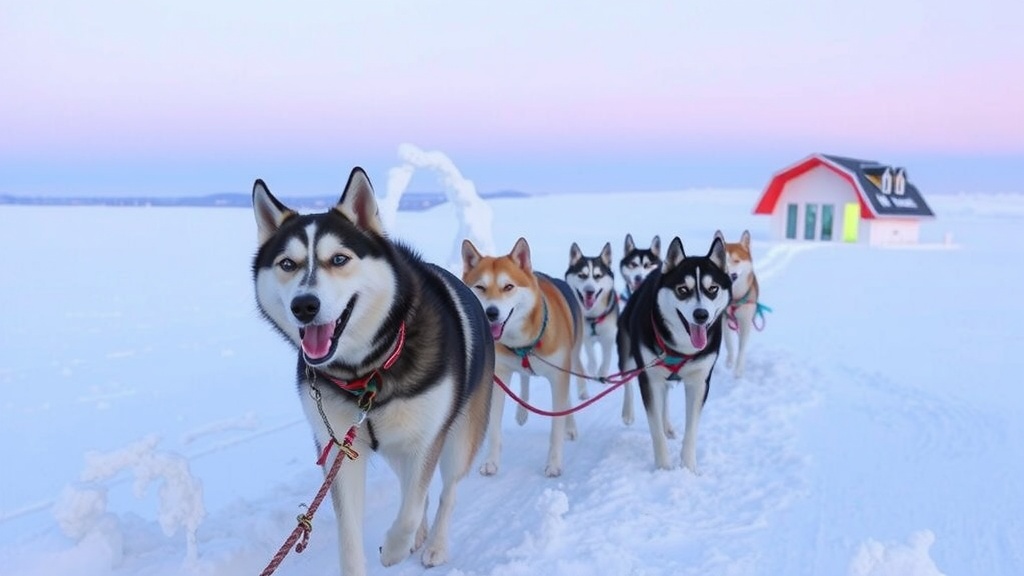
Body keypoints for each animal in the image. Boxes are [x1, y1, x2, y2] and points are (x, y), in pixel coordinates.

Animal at [464, 235, 585, 473]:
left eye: (508, 286)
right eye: (480, 287)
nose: (491, 312)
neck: (522, 344)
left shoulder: (558, 376)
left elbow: (556, 426)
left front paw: (554, 463)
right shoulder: (499, 375)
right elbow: (494, 428)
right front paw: (491, 462)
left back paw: (571, 427)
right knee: (524, 377)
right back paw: (522, 411)